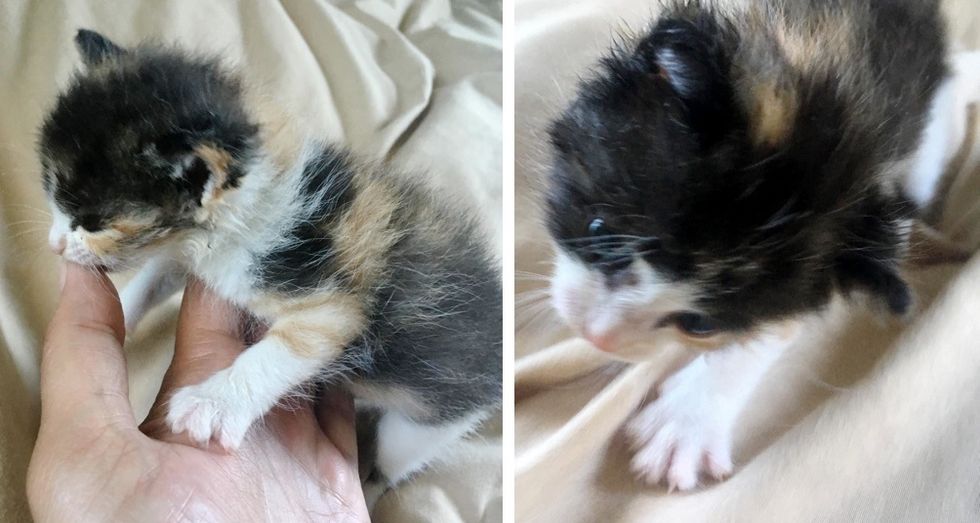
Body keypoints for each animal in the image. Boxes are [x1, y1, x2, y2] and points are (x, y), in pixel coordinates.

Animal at [42, 28, 502, 504]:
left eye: (93, 223)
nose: (55, 244)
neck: (256, 197)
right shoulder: (202, 256)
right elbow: (158, 273)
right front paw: (123, 310)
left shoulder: (326, 299)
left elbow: (281, 352)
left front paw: (214, 406)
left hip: (427, 420)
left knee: (395, 460)